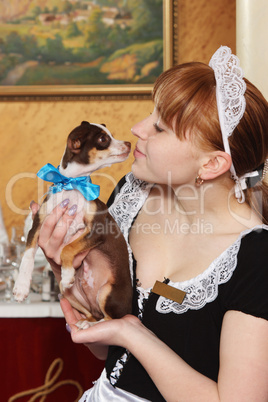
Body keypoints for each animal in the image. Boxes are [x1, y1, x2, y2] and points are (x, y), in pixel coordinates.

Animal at [13, 120, 132, 326]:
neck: (71, 185)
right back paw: (84, 321)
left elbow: (68, 248)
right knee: (93, 313)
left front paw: (68, 273)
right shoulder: (37, 225)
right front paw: (21, 287)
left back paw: (89, 325)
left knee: (111, 319)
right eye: (103, 139)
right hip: (66, 292)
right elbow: (27, 256)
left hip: (107, 292)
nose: (129, 144)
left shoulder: (97, 229)